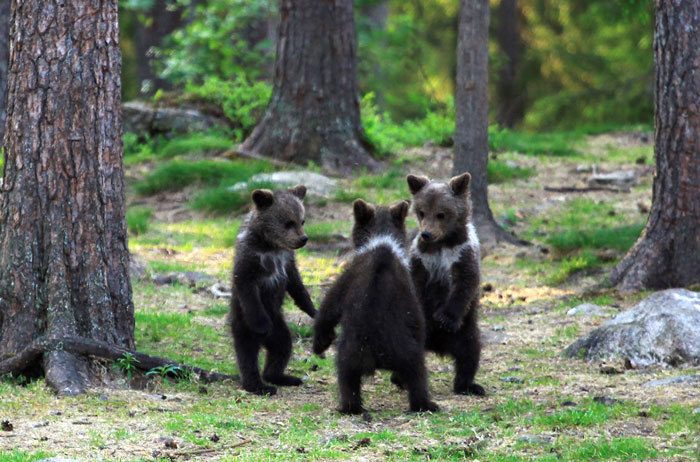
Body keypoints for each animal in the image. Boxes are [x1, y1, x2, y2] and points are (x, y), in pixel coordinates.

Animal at [229, 185, 316, 396]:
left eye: (302, 220)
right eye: (288, 222)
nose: (303, 238)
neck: (270, 246)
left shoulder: (287, 261)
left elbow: (297, 286)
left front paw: (313, 309)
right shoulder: (249, 262)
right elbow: (247, 289)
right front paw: (262, 324)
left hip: (279, 325)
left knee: (282, 346)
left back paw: (281, 377)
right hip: (243, 324)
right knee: (247, 354)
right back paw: (258, 385)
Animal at [313, 199, 439, 414]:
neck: (382, 242)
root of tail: (377, 355)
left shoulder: (348, 278)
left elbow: (329, 306)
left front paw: (320, 341)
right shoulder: (409, 293)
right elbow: (418, 322)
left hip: (350, 351)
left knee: (347, 378)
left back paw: (349, 406)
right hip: (407, 351)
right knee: (418, 374)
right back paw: (424, 403)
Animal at [405, 172, 485, 396]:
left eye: (441, 214)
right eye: (421, 212)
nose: (426, 234)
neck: (441, 244)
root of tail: (437, 345)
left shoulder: (462, 254)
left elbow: (464, 285)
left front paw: (444, 318)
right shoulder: (422, 258)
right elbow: (415, 284)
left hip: (465, 330)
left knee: (470, 352)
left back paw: (469, 385)